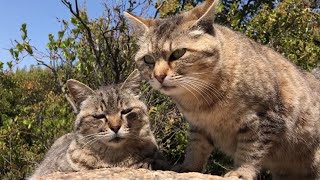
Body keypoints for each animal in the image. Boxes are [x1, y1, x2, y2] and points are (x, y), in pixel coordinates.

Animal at [124, 0, 320, 179]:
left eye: (178, 53)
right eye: (148, 59)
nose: (158, 76)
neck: (201, 98)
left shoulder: (263, 118)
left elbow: (250, 150)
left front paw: (241, 172)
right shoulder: (198, 126)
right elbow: (196, 147)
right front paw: (188, 167)